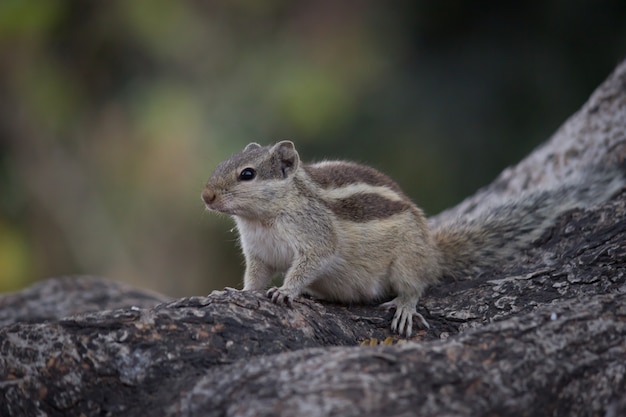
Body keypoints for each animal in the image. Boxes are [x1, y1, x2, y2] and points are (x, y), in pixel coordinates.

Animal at [202, 141, 620, 336]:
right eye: (224, 163)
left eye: (247, 174)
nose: (205, 197)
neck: (262, 219)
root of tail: (433, 252)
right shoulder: (259, 254)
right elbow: (255, 277)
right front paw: (236, 293)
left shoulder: (315, 236)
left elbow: (312, 262)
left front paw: (287, 291)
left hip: (406, 260)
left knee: (416, 285)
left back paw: (404, 306)